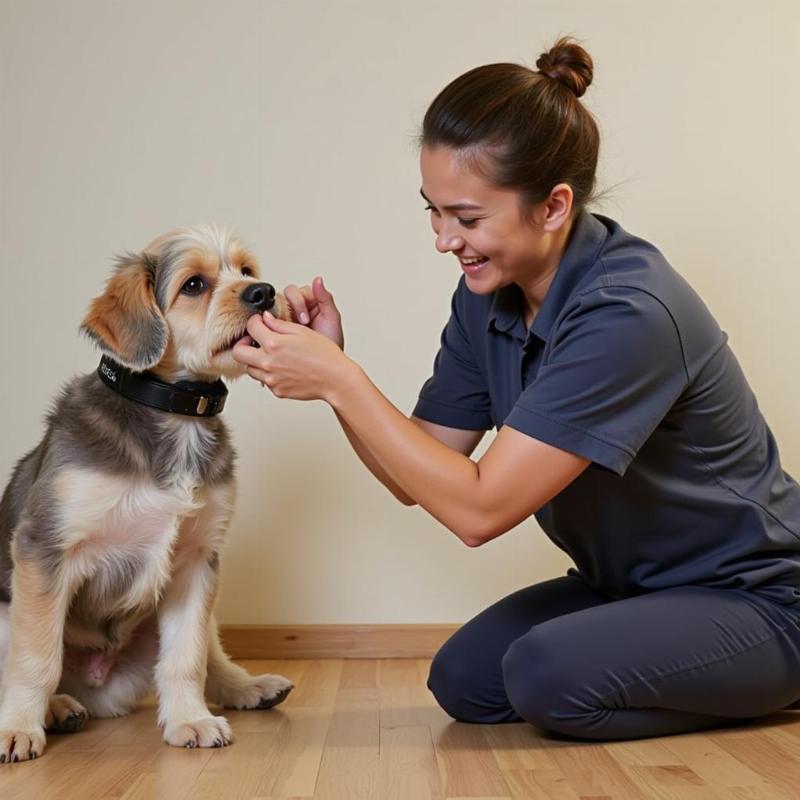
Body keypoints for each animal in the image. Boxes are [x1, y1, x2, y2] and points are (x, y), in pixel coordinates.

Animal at [0, 225, 294, 764]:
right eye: (194, 285)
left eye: (245, 270)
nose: (264, 292)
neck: (175, 414)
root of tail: (98, 689)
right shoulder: (45, 547)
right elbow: (35, 657)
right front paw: (18, 728)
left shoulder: (197, 559)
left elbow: (186, 658)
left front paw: (190, 720)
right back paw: (55, 709)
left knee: (210, 652)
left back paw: (248, 687)